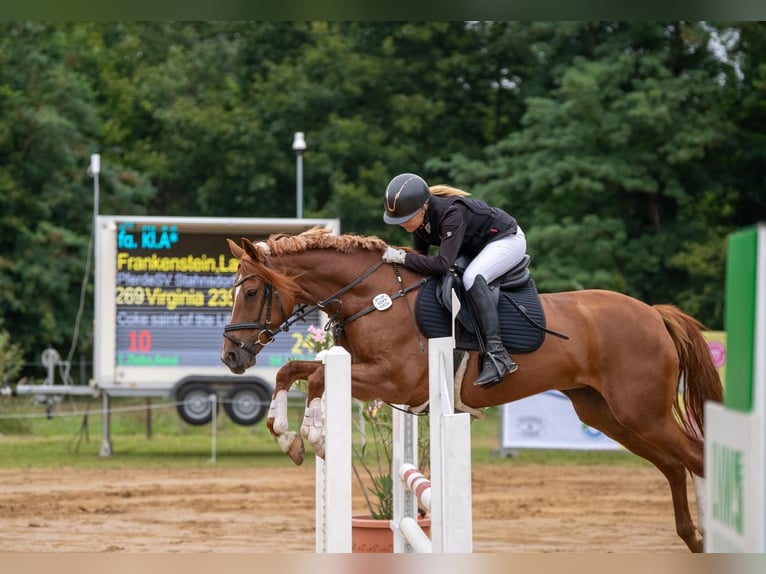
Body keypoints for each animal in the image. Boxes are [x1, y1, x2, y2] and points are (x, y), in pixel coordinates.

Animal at [220, 227, 723, 553]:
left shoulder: (394, 378)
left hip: (642, 412)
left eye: (251, 293)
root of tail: (654, 314)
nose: (230, 357)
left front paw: (314, 435)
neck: (374, 298)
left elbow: (320, 378)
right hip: (608, 414)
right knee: (675, 466)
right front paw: (286, 434)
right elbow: (292, 372)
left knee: (694, 457)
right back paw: (693, 537)